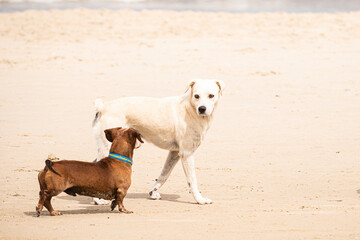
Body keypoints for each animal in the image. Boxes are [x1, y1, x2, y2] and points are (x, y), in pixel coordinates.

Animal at [91, 79, 224, 204]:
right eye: (196, 96)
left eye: (211, 95)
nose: (202, 109)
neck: (190, 108)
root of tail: (103, 107)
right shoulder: (187, 154)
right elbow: (192, 180)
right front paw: (200, 199)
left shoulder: (175, 152)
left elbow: (164, 174)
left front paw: (153, 192)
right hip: (109, 147)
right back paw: (98, 200)